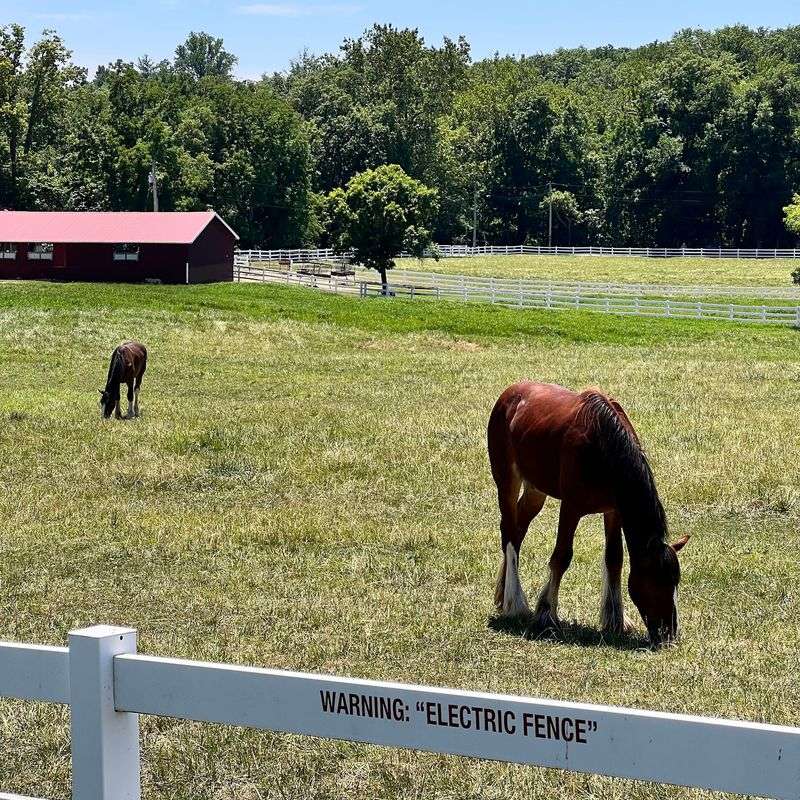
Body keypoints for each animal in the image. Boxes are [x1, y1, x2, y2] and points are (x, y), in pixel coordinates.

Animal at [487, 381, 689, 647]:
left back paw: (503, 594)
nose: (669, 634)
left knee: (517, 530)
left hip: (535, 490)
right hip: (507, 481)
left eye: (675, 582)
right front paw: (546, 615)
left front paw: (615, 619)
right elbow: (561, 557)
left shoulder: (614, 512)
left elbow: (614, 559)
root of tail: (510, 394)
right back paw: (514, 602)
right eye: (656, 580)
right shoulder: (571, 508)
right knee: (510, 532)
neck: (603, 446)